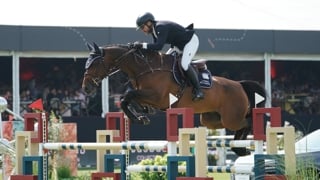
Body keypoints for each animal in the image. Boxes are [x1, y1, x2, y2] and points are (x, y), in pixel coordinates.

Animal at [81, 42, 266, 156]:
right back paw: (240, 149)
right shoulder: (148, 97)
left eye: (94, 64)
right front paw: (142, 114)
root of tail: (239, 84)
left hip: (230, 118)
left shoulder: (158, 98)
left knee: (247, 123)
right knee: (234, 126)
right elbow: (129, 98)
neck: (145, 68)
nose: (86, 88)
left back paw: (243, 147)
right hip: (211, 120)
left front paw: (139, 119)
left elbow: (127, 96)